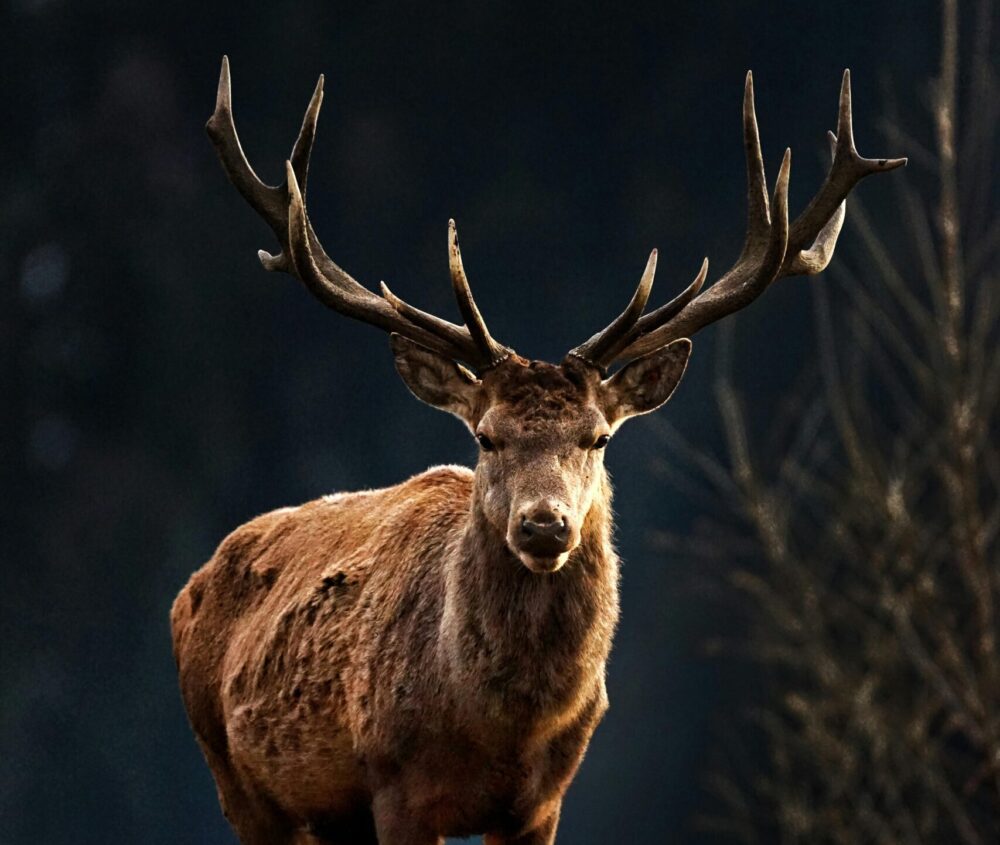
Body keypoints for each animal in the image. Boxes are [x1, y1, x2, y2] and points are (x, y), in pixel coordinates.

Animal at [171, 57, 904, 845]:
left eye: (599, 436)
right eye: (485, 435)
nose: (545, 523)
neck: (501, 731)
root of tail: (193, 584)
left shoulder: (543, 802)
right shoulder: (395, 787)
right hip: (239, 782)